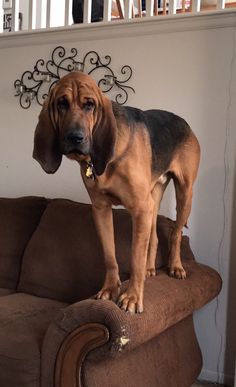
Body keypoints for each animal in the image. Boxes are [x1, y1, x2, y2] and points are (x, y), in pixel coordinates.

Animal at [32, 71, 199, 316]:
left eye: (89, 104)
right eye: (61, 103)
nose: (75, 137)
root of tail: (184, 121)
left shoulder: (139, 209)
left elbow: (135, 256)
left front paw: (132, 297)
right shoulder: (101, 209)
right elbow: (110, 255)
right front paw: (110, 289)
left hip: (184, 194)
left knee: (176, 233)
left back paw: (176, 267)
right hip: (153, 199)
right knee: (155, 237)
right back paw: (151, 268)